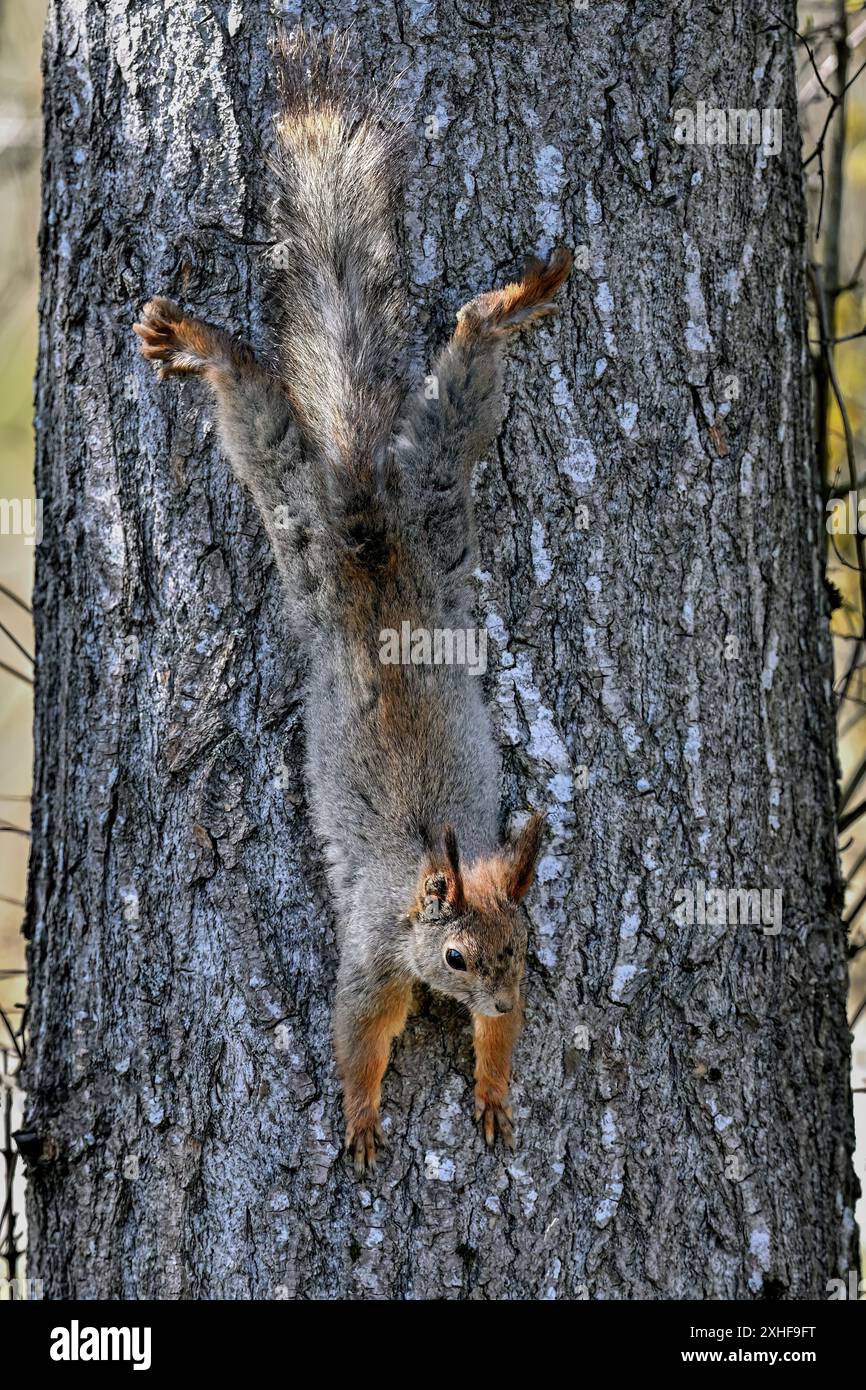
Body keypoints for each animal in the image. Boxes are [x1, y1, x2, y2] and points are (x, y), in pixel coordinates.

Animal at [134, 29, 572, 1171]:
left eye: (524, 947)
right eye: (457, 955)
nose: (497, 997)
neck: (424, 878)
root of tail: (369, 530)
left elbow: (494, 1052)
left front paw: (493, 1084)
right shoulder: (371, 957)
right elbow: (356, 1034)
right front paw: (364, 1117)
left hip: (438, 498)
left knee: (463, 371)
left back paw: (517, 298)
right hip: (304, 528)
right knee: (258, 415)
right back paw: (196, 343)